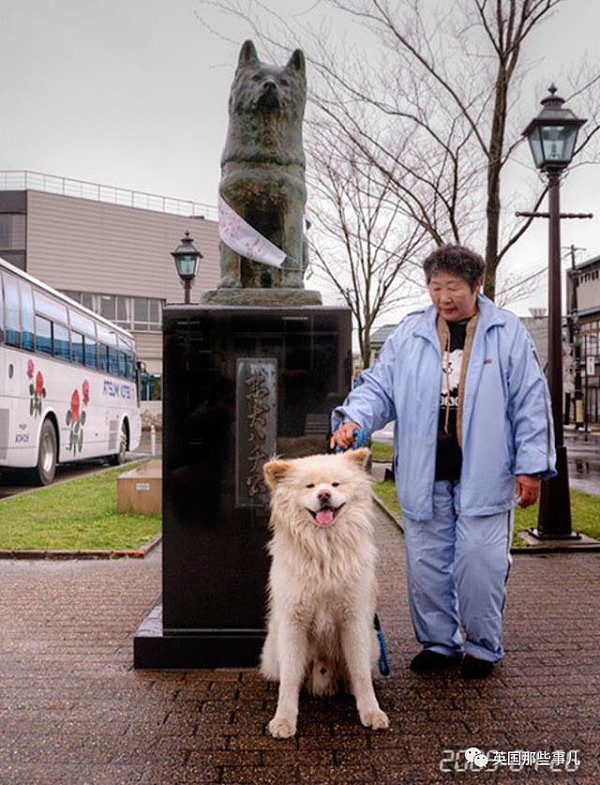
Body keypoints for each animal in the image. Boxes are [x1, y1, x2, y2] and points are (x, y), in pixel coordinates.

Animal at [262, 448, 390, 736]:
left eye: (335, 484)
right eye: (309, 486)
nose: (324, 495)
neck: (324, 549)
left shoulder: (353, 619)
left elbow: (361, 673)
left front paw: (371, 712)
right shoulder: (293, 621)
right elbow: (289, 678)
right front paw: (284, 719)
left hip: (373, 642)